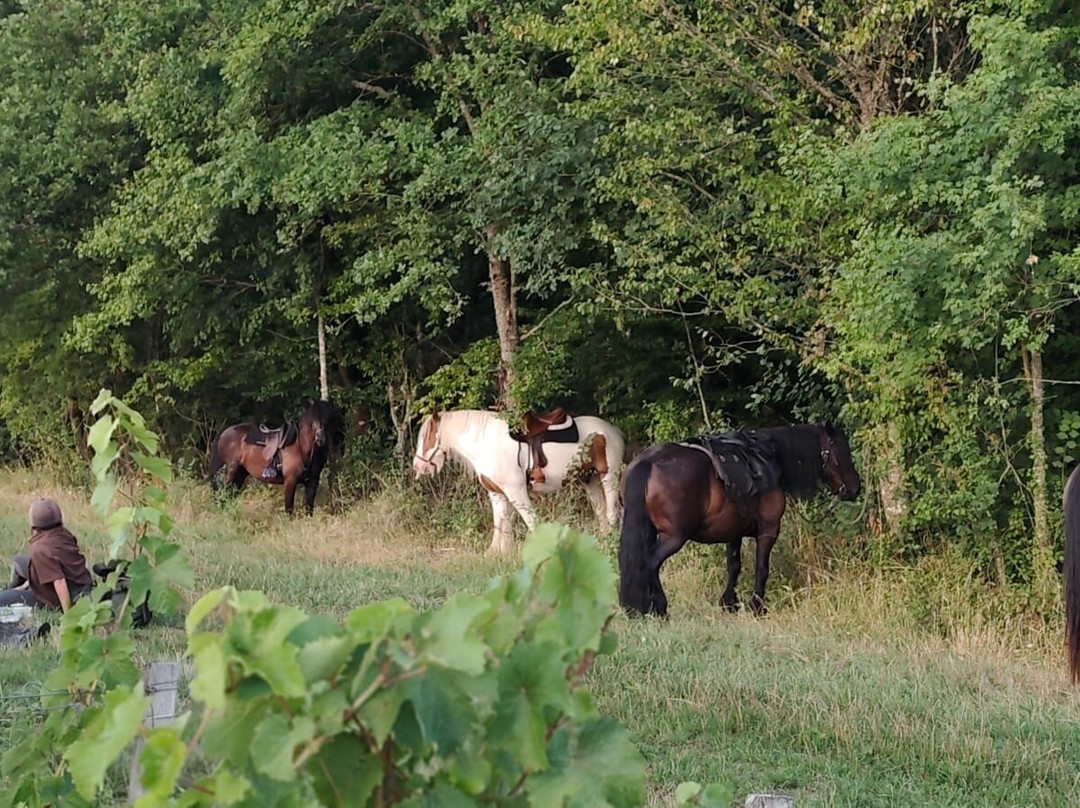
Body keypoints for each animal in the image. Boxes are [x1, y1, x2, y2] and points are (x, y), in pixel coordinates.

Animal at [207, 399, 345, 515]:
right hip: (232, 470)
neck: (301, 446)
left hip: (241, 473)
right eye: (313, 419)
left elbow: (309, 509)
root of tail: (225, 432)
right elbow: (289, 509)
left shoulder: (312, 482)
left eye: (328, 418)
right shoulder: (290, 480)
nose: (320, 439)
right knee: (223, 494)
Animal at [412, 409, 626, 554]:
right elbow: (500, 524)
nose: (418, 467)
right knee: (601, 513)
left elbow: (531, 521)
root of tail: (612, 431)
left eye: (427, 437)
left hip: (609, 478)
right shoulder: (497, 493)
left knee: (611, 513)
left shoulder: (516, 491)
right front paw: (497, 553)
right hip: (591, 480)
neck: (487, 442)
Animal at [618, 422, 861, 617]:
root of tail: (649, 463)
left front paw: (729, 604)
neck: (773, 460)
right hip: (673, 537)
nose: (854, 489)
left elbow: (733, 566)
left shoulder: (732, 532)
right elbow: (761, 568)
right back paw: (659, 607)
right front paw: (758, 607)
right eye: (840, 451)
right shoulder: (769, 530)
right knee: (651, 562)